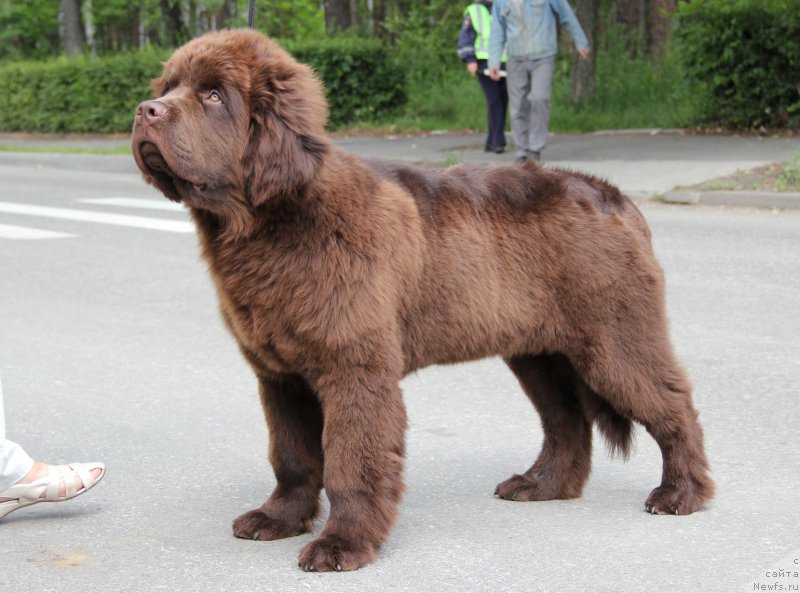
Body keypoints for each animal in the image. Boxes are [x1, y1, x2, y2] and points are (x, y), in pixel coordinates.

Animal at [131, 30, 712, 572]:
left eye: (213, 96)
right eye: (168, 87)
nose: (144, 110)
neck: (271, 225)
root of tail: (619, 198)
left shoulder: (354, 369)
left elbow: (350, 461)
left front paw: (343, 545)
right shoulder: (280, 376)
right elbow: (292, 455)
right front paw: (279, 519)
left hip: (614, 339)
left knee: (672, 404)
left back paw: (681, 494)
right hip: (538, 352)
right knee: (565, 420)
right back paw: (541, 485)